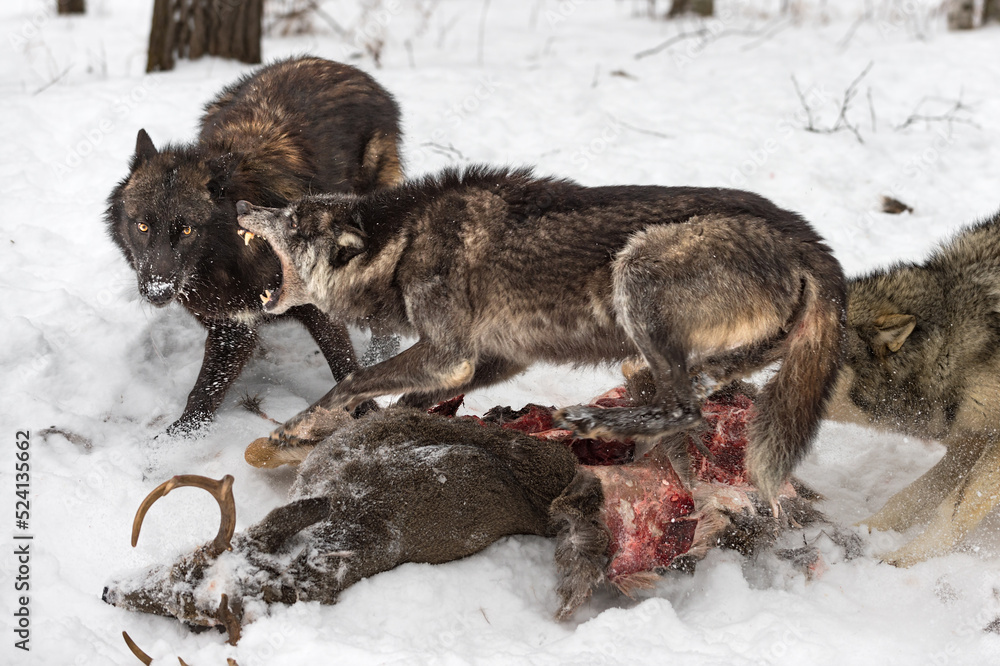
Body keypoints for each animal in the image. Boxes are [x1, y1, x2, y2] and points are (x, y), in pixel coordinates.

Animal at [101, 55, 398, 436]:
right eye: (142, 225)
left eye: (187, 230)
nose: (157, 292)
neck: (232, 256)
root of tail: (343, 66)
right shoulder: (232, 326)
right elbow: (204, 392)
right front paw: (174, 441)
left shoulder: (315, 306)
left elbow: (343, 363)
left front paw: (368, 413)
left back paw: (383, 354)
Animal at [234, 165, 844, 498]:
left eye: (293, 221)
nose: (241, 204)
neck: (402, 242)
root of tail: (810, 240)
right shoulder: (498, 359)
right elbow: (399, 403)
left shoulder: (447, 355)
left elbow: (350, 382)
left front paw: (292, 431)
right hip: (679, 353)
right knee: (688, 399)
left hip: (637, 272)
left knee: (685, 407)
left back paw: (596, 421)